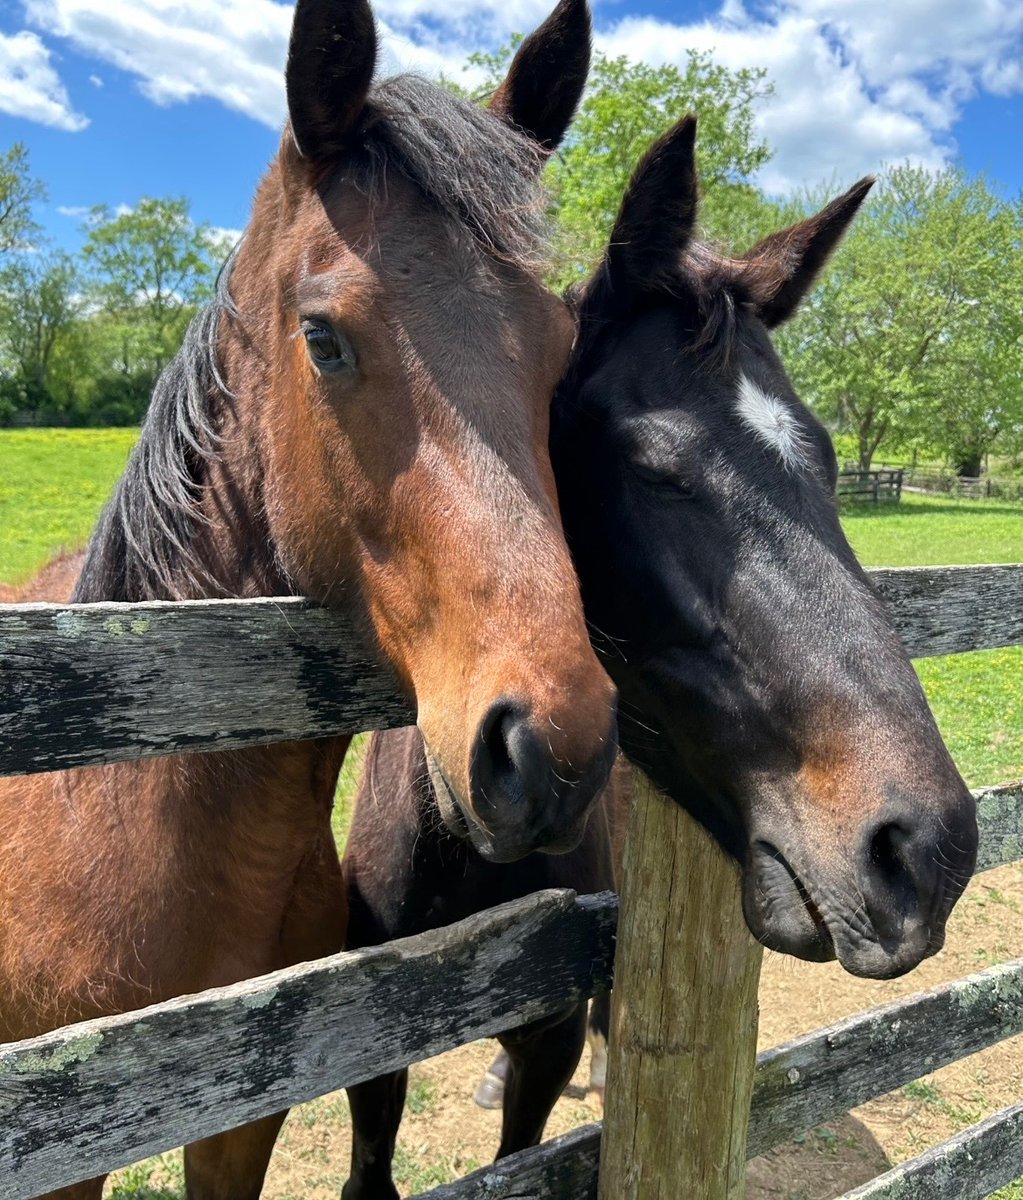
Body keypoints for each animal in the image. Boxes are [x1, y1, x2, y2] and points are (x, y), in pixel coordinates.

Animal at [0, 1, 618, 1196]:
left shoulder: (244, 1115)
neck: (113, 805)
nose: (551, 750)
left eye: (565, 350)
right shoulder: (65, 1148)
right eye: (323, 337)